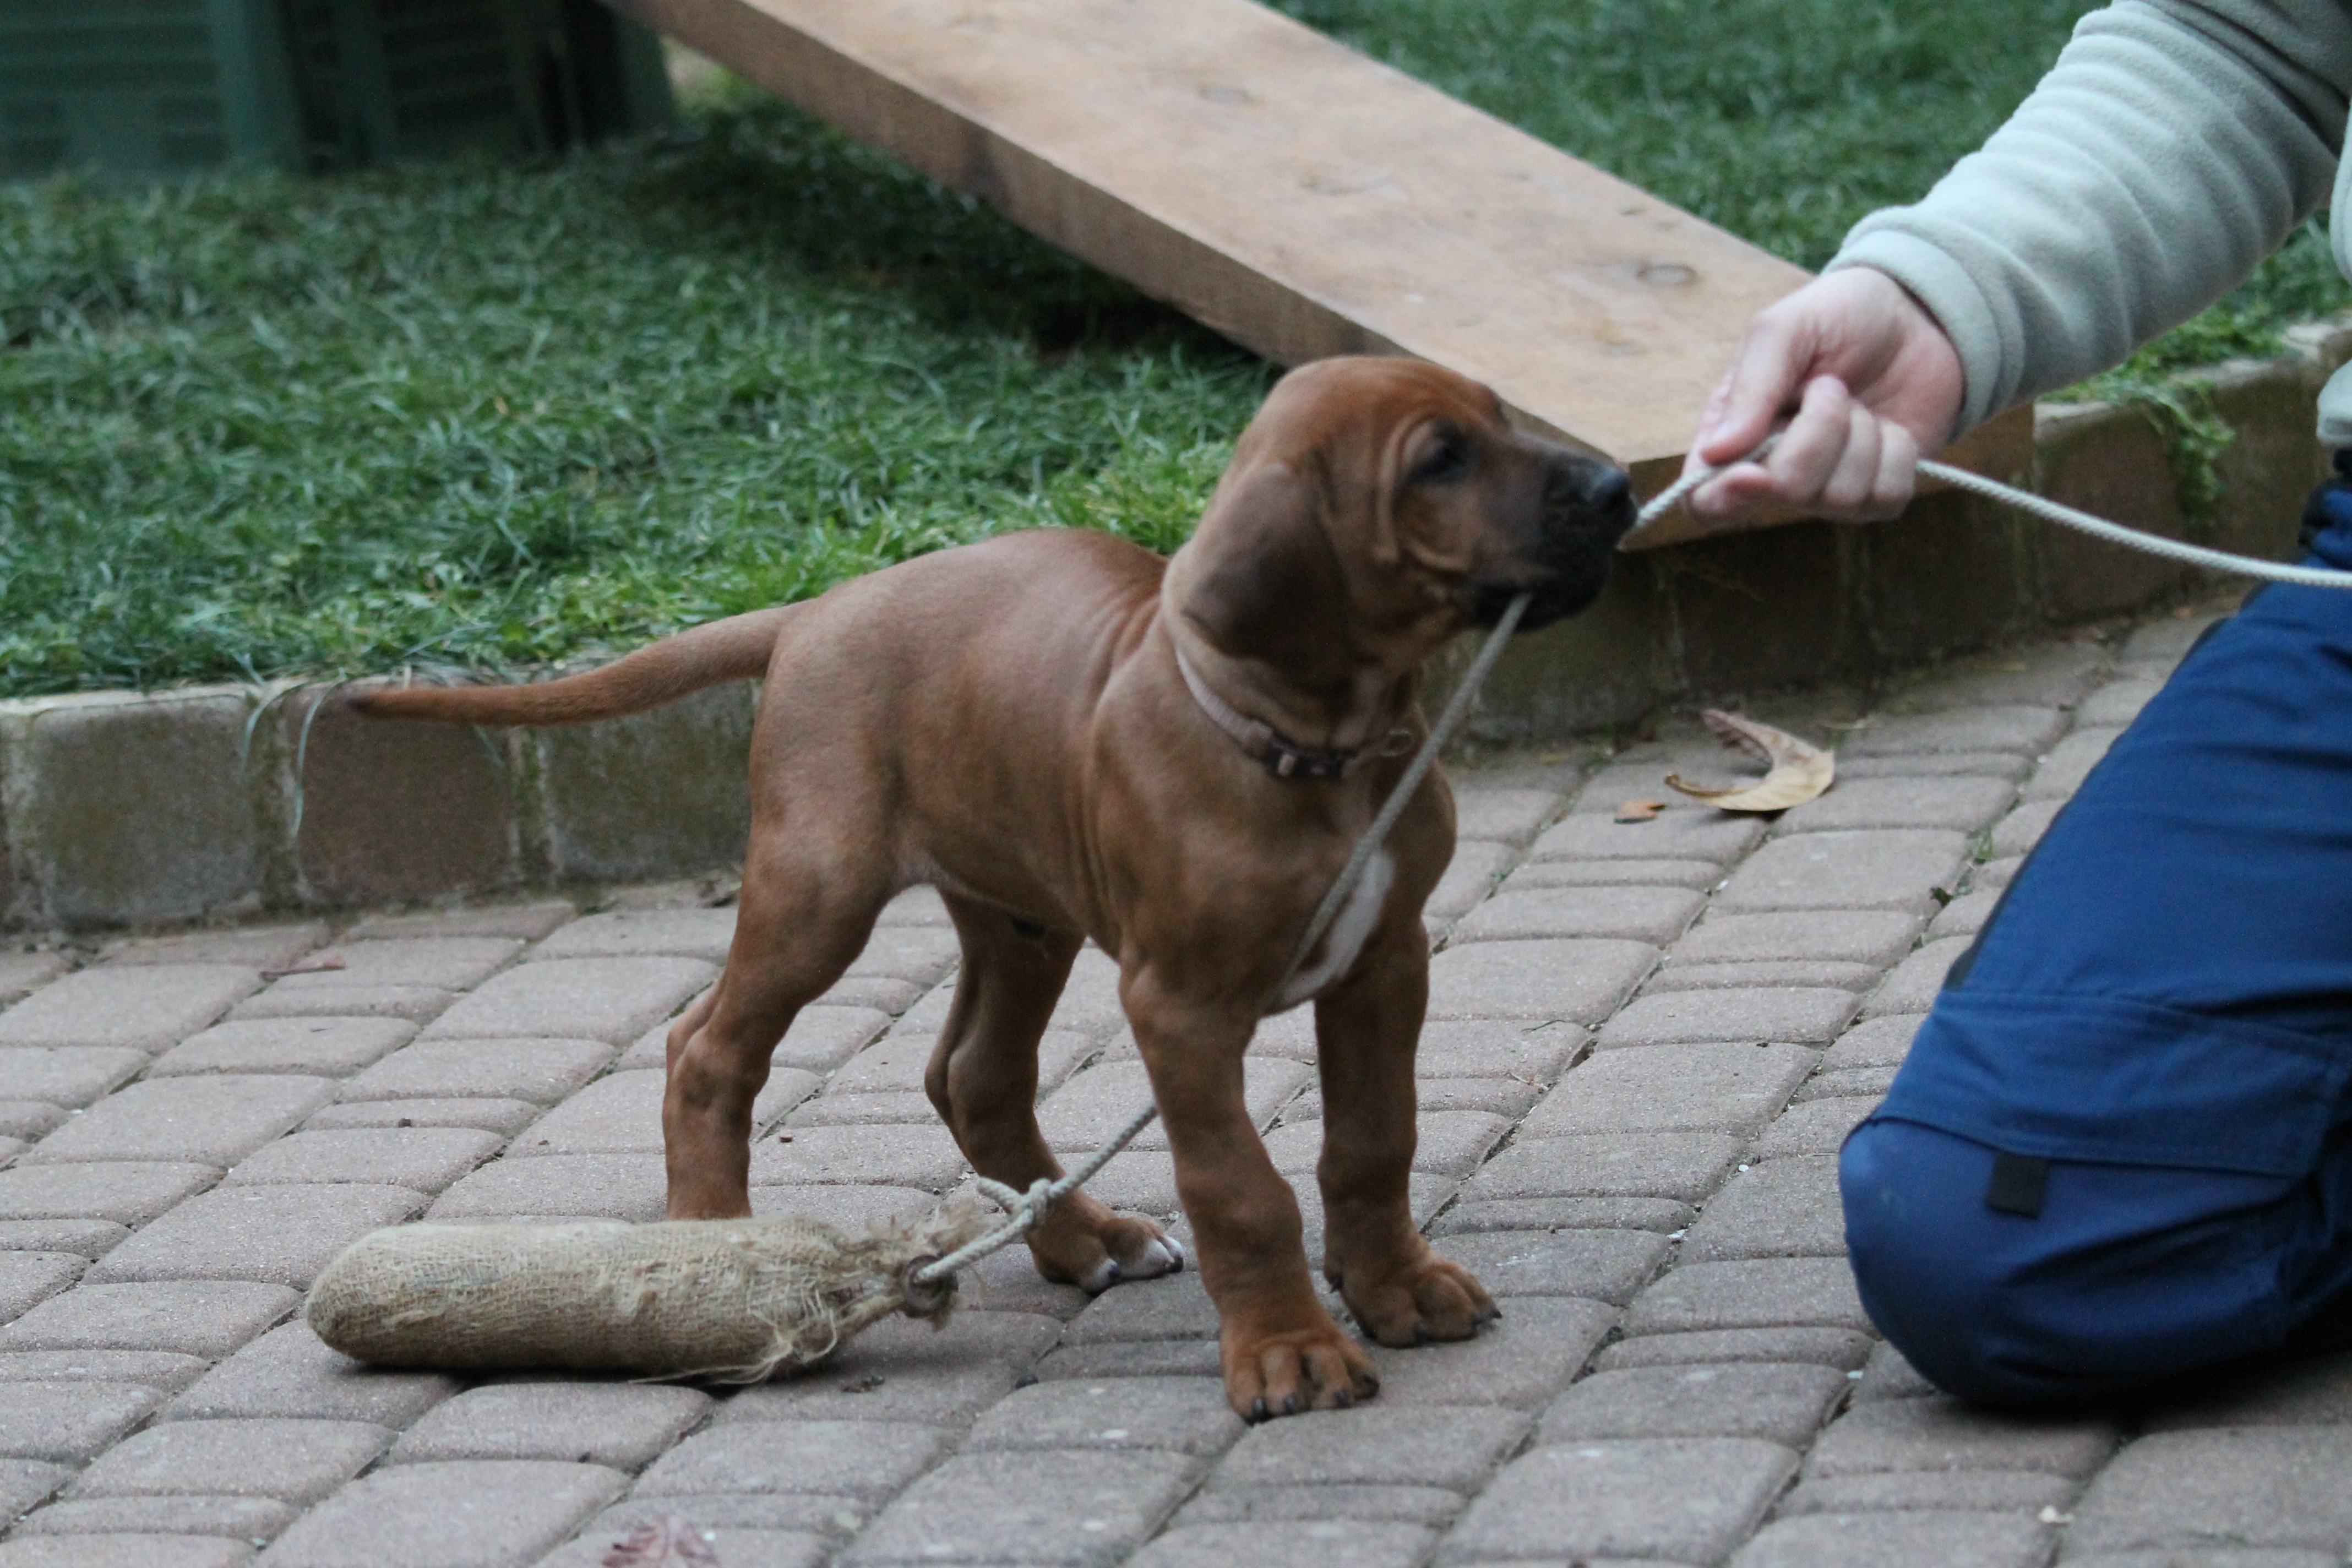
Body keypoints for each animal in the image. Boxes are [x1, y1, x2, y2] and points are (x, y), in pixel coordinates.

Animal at [358, 356, 1635, 1418]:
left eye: (1499, 417)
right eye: (1440, 459)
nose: (1620, 485)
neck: (1310, 750)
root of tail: (814, 608)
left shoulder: (1386, 957)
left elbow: (1374, 1139)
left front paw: (1395, 1286)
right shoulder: (1181, 1008)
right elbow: (1241, 1184)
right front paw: (1288, 1347)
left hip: (1022, 917)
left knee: (972, 1074)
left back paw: (1083, 1237)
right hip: (820, 887)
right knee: (708, 1049)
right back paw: (716, 1248)